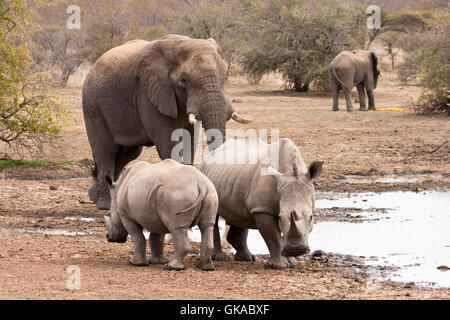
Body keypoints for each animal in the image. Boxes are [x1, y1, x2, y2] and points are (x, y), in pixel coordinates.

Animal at [80, 35, 250, 210]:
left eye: (225, 77)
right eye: (184, 80)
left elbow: (190, 141)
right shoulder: (149, 93)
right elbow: (170, 143)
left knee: (127, 154)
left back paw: (101, 196)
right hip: (92, 105)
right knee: (107, 151)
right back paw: (104, 203)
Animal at [200, 138, 324, 270]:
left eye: (311, 217)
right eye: (280, 217)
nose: (296, 250)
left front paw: (292, 262)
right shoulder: (263, 209)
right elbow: (274, 238)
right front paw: (280, 266)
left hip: (233, 177)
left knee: (238, 213)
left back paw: (247, 258)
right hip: (205, 174)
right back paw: (219, 257)